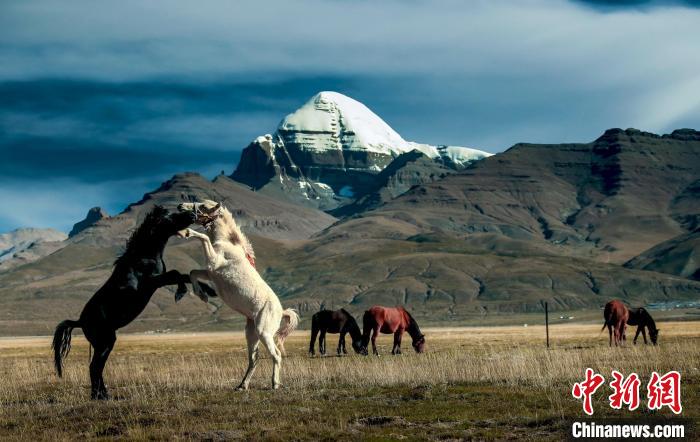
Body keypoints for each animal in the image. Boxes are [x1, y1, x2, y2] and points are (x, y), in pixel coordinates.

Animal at [51, 207, 205, 400]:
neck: (143, 255)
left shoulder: (159, 280)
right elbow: (176, 273)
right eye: (170, 215)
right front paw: (180, 293)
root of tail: (80, 322)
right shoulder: (152, 282)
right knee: (94, 367)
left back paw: (102, 395)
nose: (194, 215)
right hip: (105, 342)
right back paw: (100, 396)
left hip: (104, 344)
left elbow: (184, 275)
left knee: (97, 368)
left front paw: (207, 289)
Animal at [178, 200, 298, 390]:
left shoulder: (213, 263)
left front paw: (187, 232)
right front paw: (202, 295)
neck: (226, 244)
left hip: (264, 332)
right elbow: (193, 273)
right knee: (254, 359)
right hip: (251, 334)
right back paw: (242, 385)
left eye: (203, 206)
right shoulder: (210, 272)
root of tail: (282, 312)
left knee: (276, 355)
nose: (181, 206)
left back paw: (274, 384)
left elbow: (203, 239)